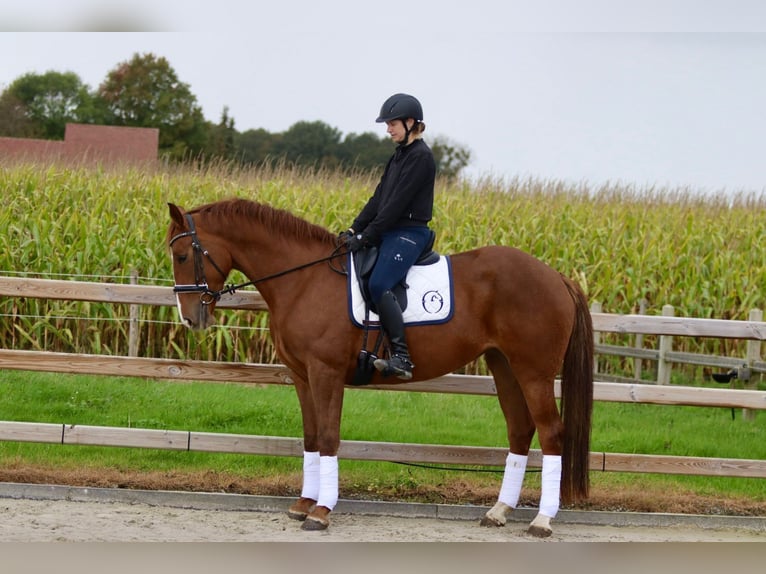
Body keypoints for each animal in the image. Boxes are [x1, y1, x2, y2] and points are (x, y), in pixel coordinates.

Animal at [168, 199, 596, 540]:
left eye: (183, 256)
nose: (190, 319)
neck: (304, 280)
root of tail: (556, 276)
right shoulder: (303, 376)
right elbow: (310, 437)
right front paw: (304, 503)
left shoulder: (325, 373)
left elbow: (328, 437)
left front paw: (321, 512)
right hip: (503, 365)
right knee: (520, 429)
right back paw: (499, 511)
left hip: (534, 371)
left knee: (551, 432)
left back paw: (542, 520)